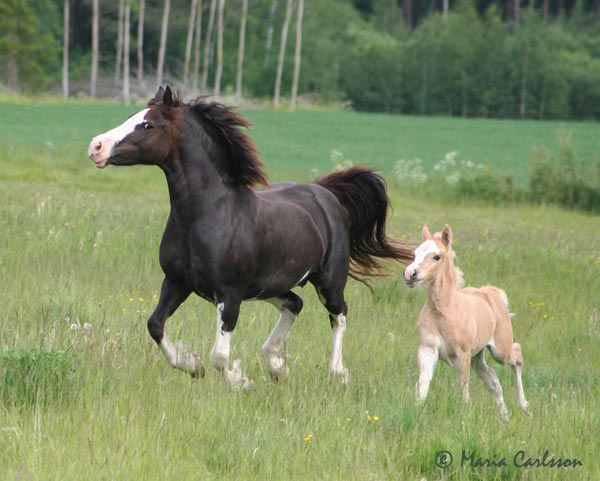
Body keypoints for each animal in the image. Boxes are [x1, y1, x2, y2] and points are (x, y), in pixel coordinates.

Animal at [86, 85, 410, 386]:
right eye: (132, 116)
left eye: (148, 125)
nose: (96, 147)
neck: (210, 214)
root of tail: (324, 192)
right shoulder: (177, 282)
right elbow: (155, 325)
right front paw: (192, 365)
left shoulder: (229, 295)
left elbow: (219, 355)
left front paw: (240, 381)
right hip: (271, 285)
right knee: (295, 304)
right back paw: (277, 365)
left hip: (328, 280)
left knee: (338, 314)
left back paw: (337, 373)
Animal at [404, 223, 528, 418]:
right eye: (415, 254)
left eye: (436, 256)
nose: (410, 274)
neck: (444, 312)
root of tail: (492, 293)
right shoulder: (427, 349)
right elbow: (423, 384)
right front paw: (416, 411)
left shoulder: (462, 355)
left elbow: (463, 387)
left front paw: (464, 414)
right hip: (478, 356)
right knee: (494, 380)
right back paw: (505, 417)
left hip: (500, 351)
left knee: (517, 354)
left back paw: (524, 406)